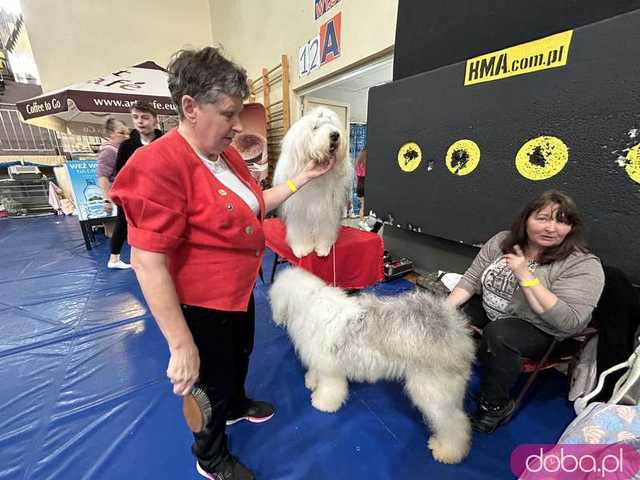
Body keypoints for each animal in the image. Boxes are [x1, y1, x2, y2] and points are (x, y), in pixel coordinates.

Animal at [268, 268, 476, 464]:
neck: (308, 301)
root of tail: (455, 327)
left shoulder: (330, 370)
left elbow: (330, 389)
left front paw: (322, 403)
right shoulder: (319, 360)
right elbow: (315, 372)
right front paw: (311, 381)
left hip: (433, 390)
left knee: (455, 423)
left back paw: (447, 452)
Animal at [272, 106, 352, 258]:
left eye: (332, 124)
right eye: (315, 127)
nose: (335, 134)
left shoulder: (327, 208)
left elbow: (326, 227)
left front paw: (323, 248)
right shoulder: (299, 209)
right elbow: (299, 228)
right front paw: (302, 248)